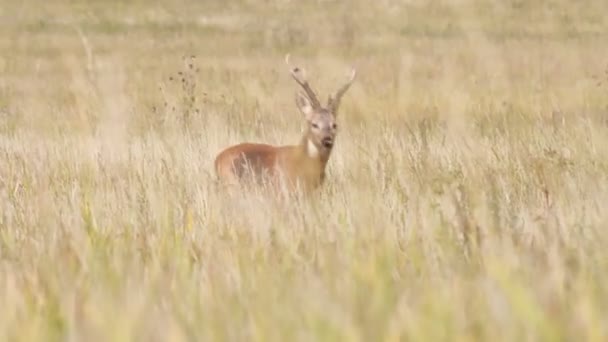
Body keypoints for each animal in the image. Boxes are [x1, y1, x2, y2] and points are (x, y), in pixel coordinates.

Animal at [214, 57, 356, 194]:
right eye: (314, 124)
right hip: (232, 185)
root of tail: (217, 160)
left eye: (334, 125)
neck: (305, 164)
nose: (327, 140)